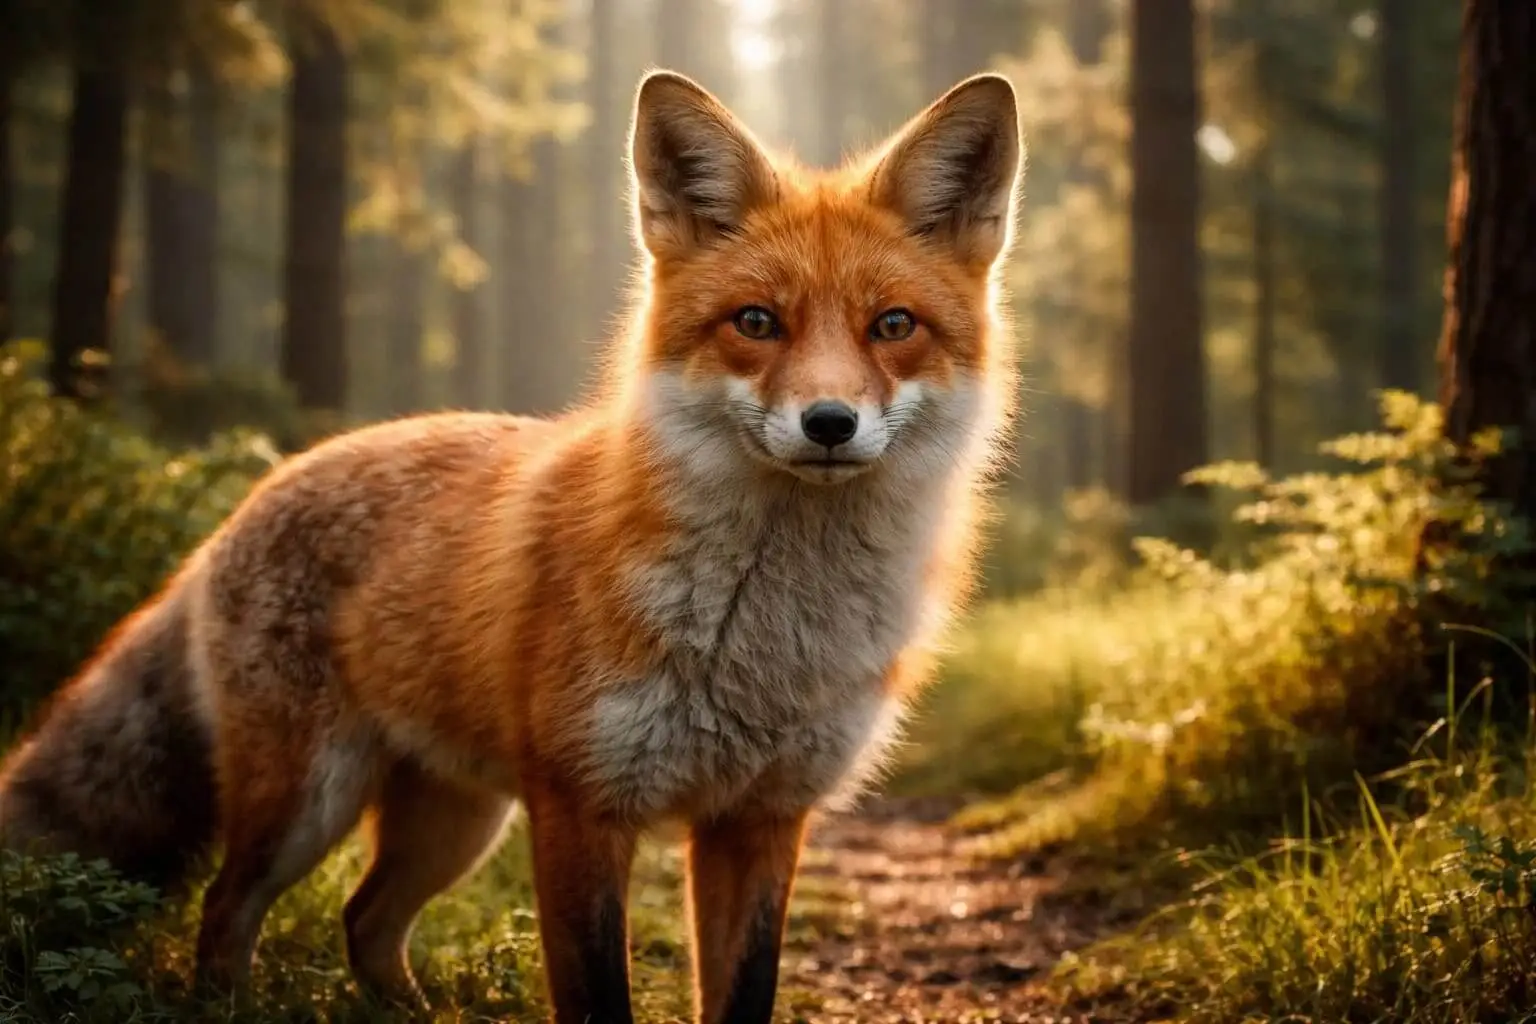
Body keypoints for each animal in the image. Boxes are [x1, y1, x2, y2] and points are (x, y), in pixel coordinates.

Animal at [0, 70, 1022, 1023]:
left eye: (893, 326)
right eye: (756, 323)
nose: (829, 423)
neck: (767, 640)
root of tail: (249, 494)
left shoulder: (762, 817)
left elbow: (743, 994)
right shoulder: (580, 806)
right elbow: (597, 995)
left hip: (457, 819)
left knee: (364, 922)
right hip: (308, 804)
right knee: (225, 914)